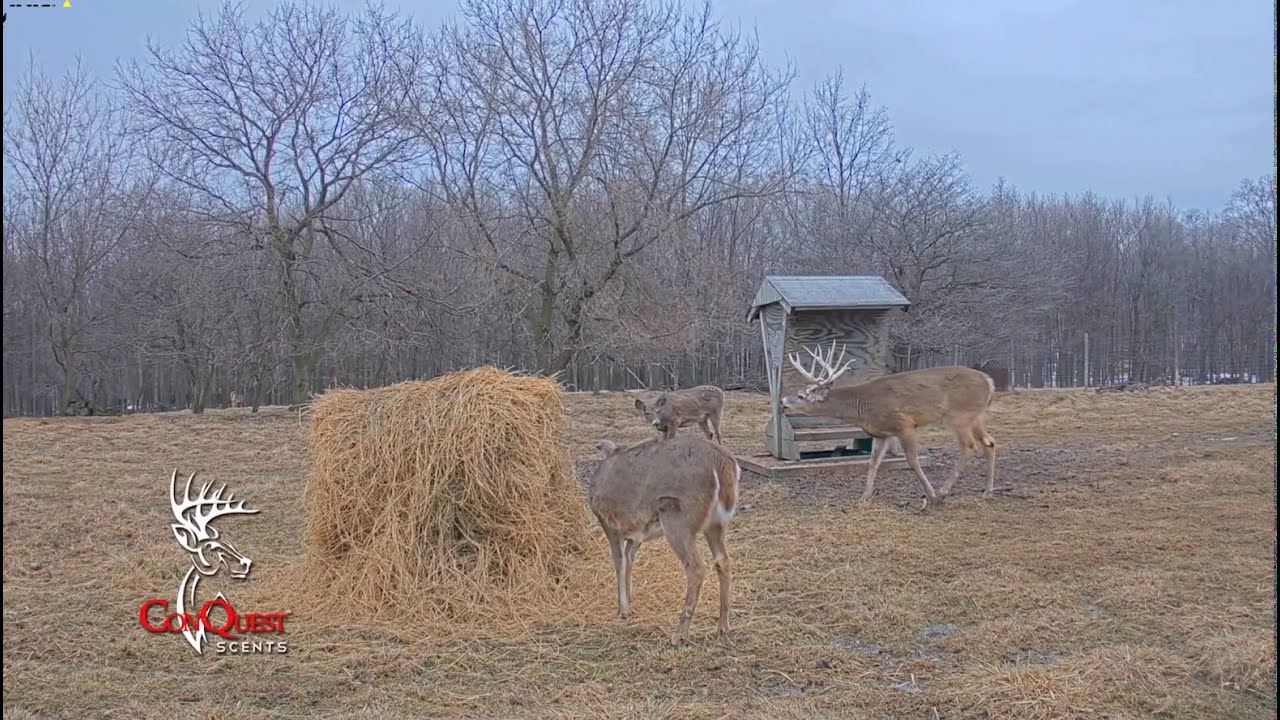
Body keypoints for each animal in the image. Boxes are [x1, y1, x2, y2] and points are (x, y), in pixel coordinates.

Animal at [587, 435, 739, 645]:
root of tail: (723, 464)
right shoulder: (636, 534)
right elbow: (629, 558)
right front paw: (630, 600)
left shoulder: (609, 523)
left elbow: (619, 562)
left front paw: (623, 610)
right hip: (716, 523)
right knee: (723, 561)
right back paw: (723, 627)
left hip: (677, 518)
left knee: (696, 568)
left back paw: (680, 634)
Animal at [780, 341, 998, 510]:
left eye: (801, 396)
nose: (783, 401)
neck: (863, 407)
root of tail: (990, 381)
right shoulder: (880, 433)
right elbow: (873, 462)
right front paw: (865, 496)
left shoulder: (905, 425)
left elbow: (912, 461)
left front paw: (931, 496)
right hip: (976, 416)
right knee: (989, 442)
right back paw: (987, 492)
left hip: (959, 416)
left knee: (969, 446)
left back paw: (943, 492)